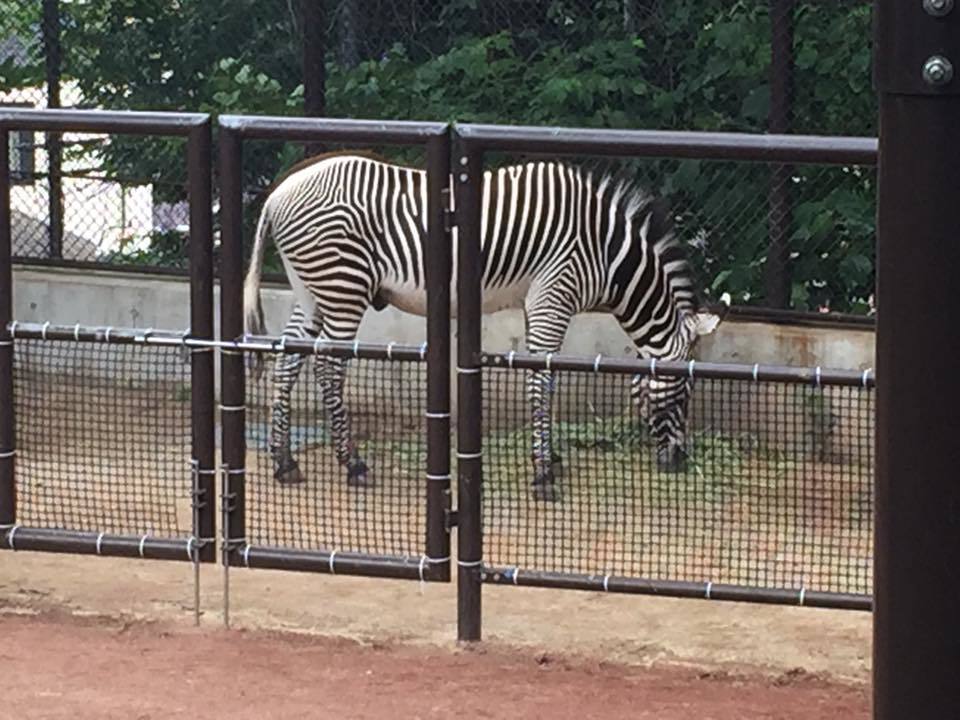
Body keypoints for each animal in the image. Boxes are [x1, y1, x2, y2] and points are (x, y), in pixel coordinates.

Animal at [242, 152, 728, 500]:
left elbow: (544, 379)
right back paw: (353, 464)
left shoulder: (538, 301)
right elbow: (541, 379)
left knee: (288, 359)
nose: (679, 461)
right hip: (343, 286)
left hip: (311, 289)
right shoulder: (555, 293)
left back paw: (284, 462)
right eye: (687, 389)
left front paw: (550, 457)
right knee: (328, 366)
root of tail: (276, 196)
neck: (608, 253)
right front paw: (543, 475)